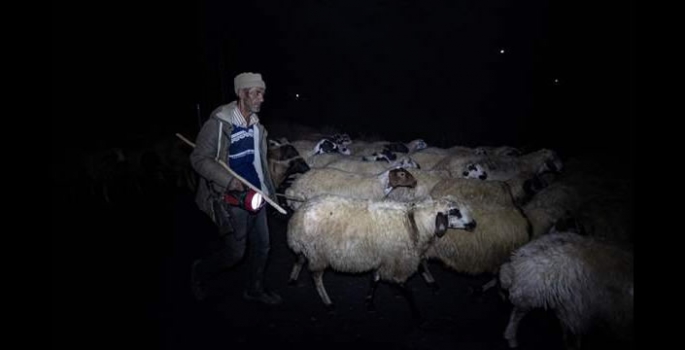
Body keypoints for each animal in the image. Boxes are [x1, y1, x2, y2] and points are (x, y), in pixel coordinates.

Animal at [286, 194, 472, 318]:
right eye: (454, 211)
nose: (474, 224)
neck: (415, 223)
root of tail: (297, 217)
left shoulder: (382, 258)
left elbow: (374, 280)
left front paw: (369, 302)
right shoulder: (396, 263)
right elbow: (406, 289)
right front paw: (416, 312)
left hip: (308, 249)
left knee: (299, 259)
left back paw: (293, 279)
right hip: (318, 253)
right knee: (316, 277)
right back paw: (328, 303)